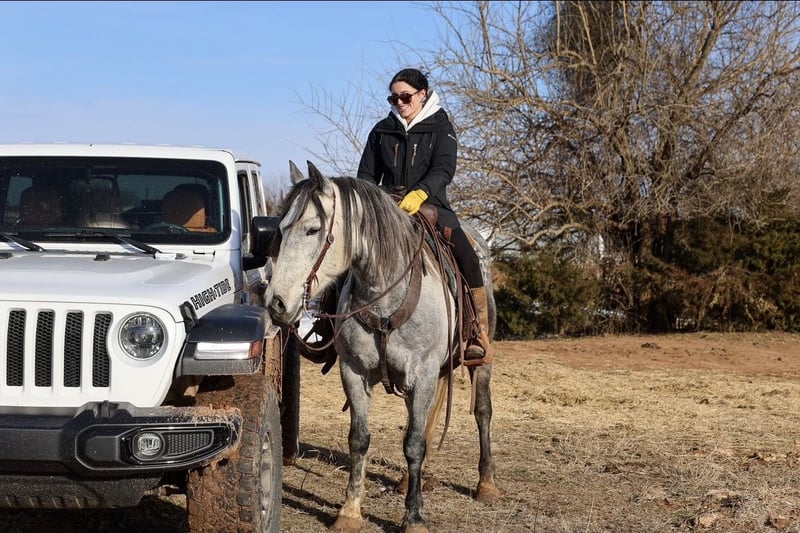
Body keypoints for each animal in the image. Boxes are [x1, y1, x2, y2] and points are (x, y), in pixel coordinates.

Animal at [265, 161, 502, 532]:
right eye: (281, 228)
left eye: (313, 229)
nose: (276, 303)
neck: (385, 297)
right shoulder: (354, 372)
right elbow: (360, 439)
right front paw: (349, 511)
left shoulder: (423, 374)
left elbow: (414, 443)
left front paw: (414, 516)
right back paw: (413, 479)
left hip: (480, 360)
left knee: (482, 411)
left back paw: (486, 484)